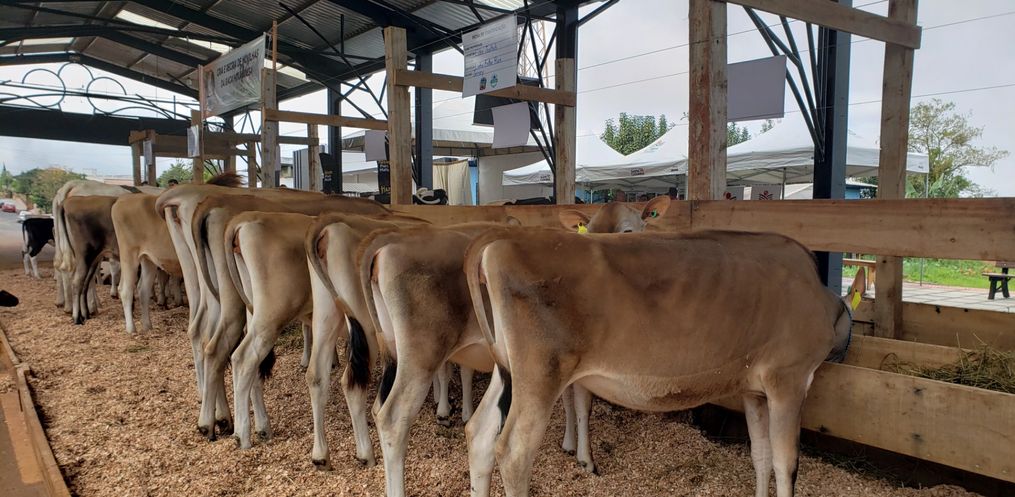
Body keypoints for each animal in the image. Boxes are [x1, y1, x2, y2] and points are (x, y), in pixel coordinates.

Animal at [358, 198, 671, 497]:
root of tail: (386, 246)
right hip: (421, 353)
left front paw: (569, 444)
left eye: (628, 231)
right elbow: (583, 404)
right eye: (591, 232)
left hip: (394, 349)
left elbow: (570, 400)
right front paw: (585, 458)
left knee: (377, 407)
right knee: (391, 416)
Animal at [462, 229, 853, 497]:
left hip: (510, 371)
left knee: (479, 434)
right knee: (513, 453)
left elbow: (762, 454)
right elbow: (787, 464)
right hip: (541, 374)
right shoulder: (788, 379)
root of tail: (502, 240)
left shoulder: (753, 391)